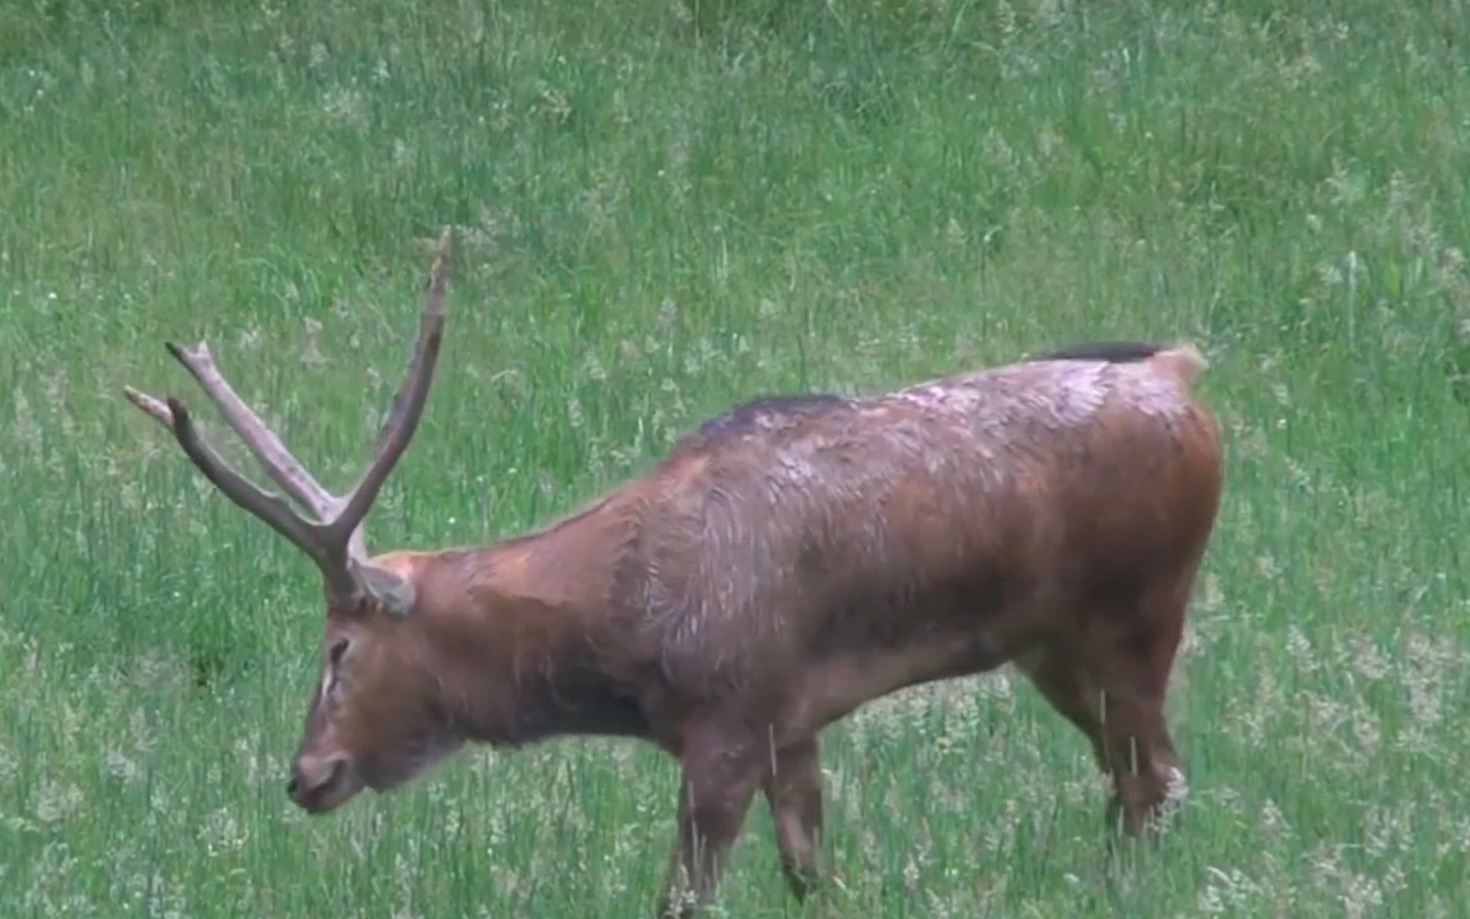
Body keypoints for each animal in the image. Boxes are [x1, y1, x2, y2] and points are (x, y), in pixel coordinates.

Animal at [126, 227, 1228, 911]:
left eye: (340, 647)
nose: (306, 773)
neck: (625, 646)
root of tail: (1184, 373)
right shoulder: (790, 723)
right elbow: (813, 875)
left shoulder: (729, 719)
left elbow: (682, 896)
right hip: (1054, 646)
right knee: (1134, 781)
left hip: (1139, 609)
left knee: (1156, 777)